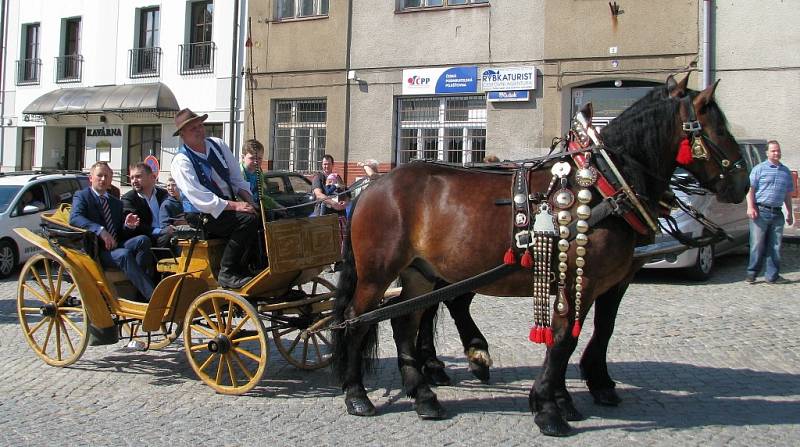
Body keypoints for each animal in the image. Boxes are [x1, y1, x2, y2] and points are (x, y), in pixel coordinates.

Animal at [332, 74, 752, 438]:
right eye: (716, 128)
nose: (742, 183)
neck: (603, 187)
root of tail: (371, 185)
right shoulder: (581, 278)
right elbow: (564, 338)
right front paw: (549, 408)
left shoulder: (611, 279)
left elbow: (597, 330)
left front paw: (576, 393)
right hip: (378, 272)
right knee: (357, 320)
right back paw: (357, 394)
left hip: (420, 272)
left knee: (404, 321)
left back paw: (424, 396)